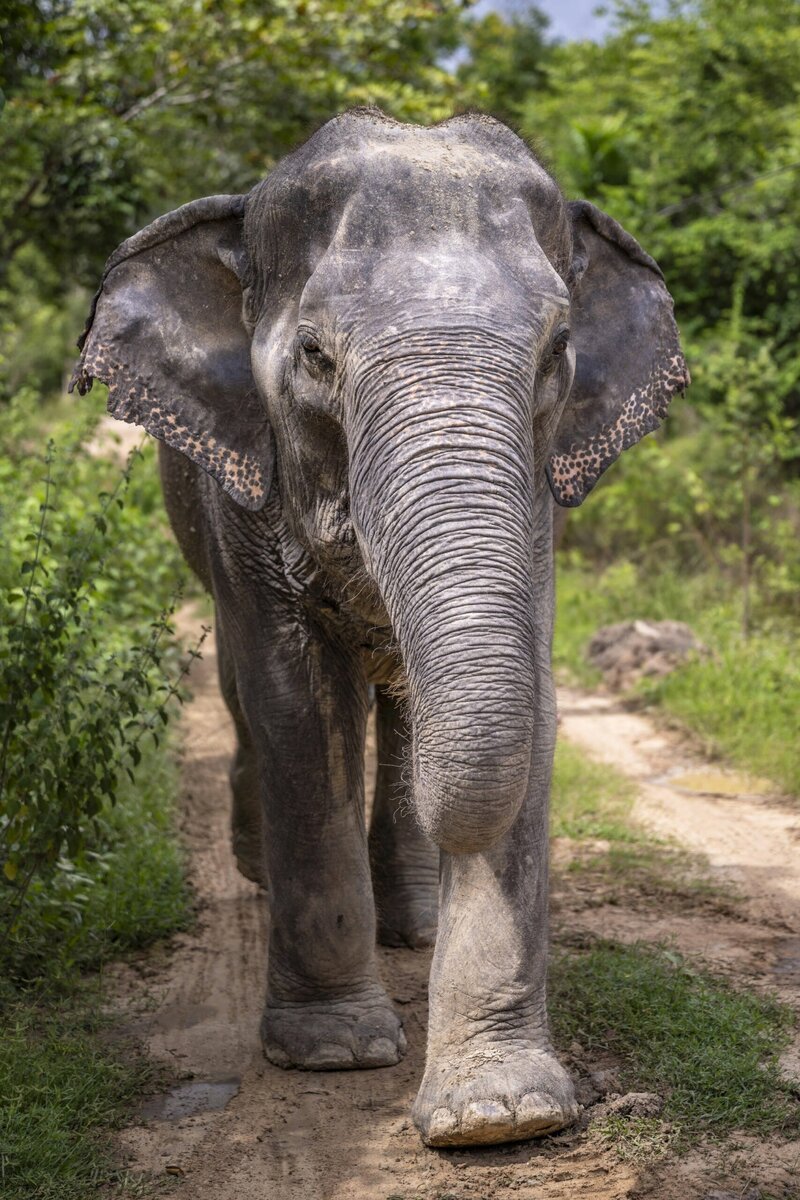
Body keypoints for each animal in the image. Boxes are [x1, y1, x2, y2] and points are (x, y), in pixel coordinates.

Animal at [71, 108, 690, 1147]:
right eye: (317, 358)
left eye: (557, 352)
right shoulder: (246, 489)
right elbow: (294, 700)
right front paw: (333, 1053)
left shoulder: (540, 504)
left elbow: (528, 700)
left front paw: (498, 1118)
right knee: (244, 689)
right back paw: (263, 870)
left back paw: (417, 925)